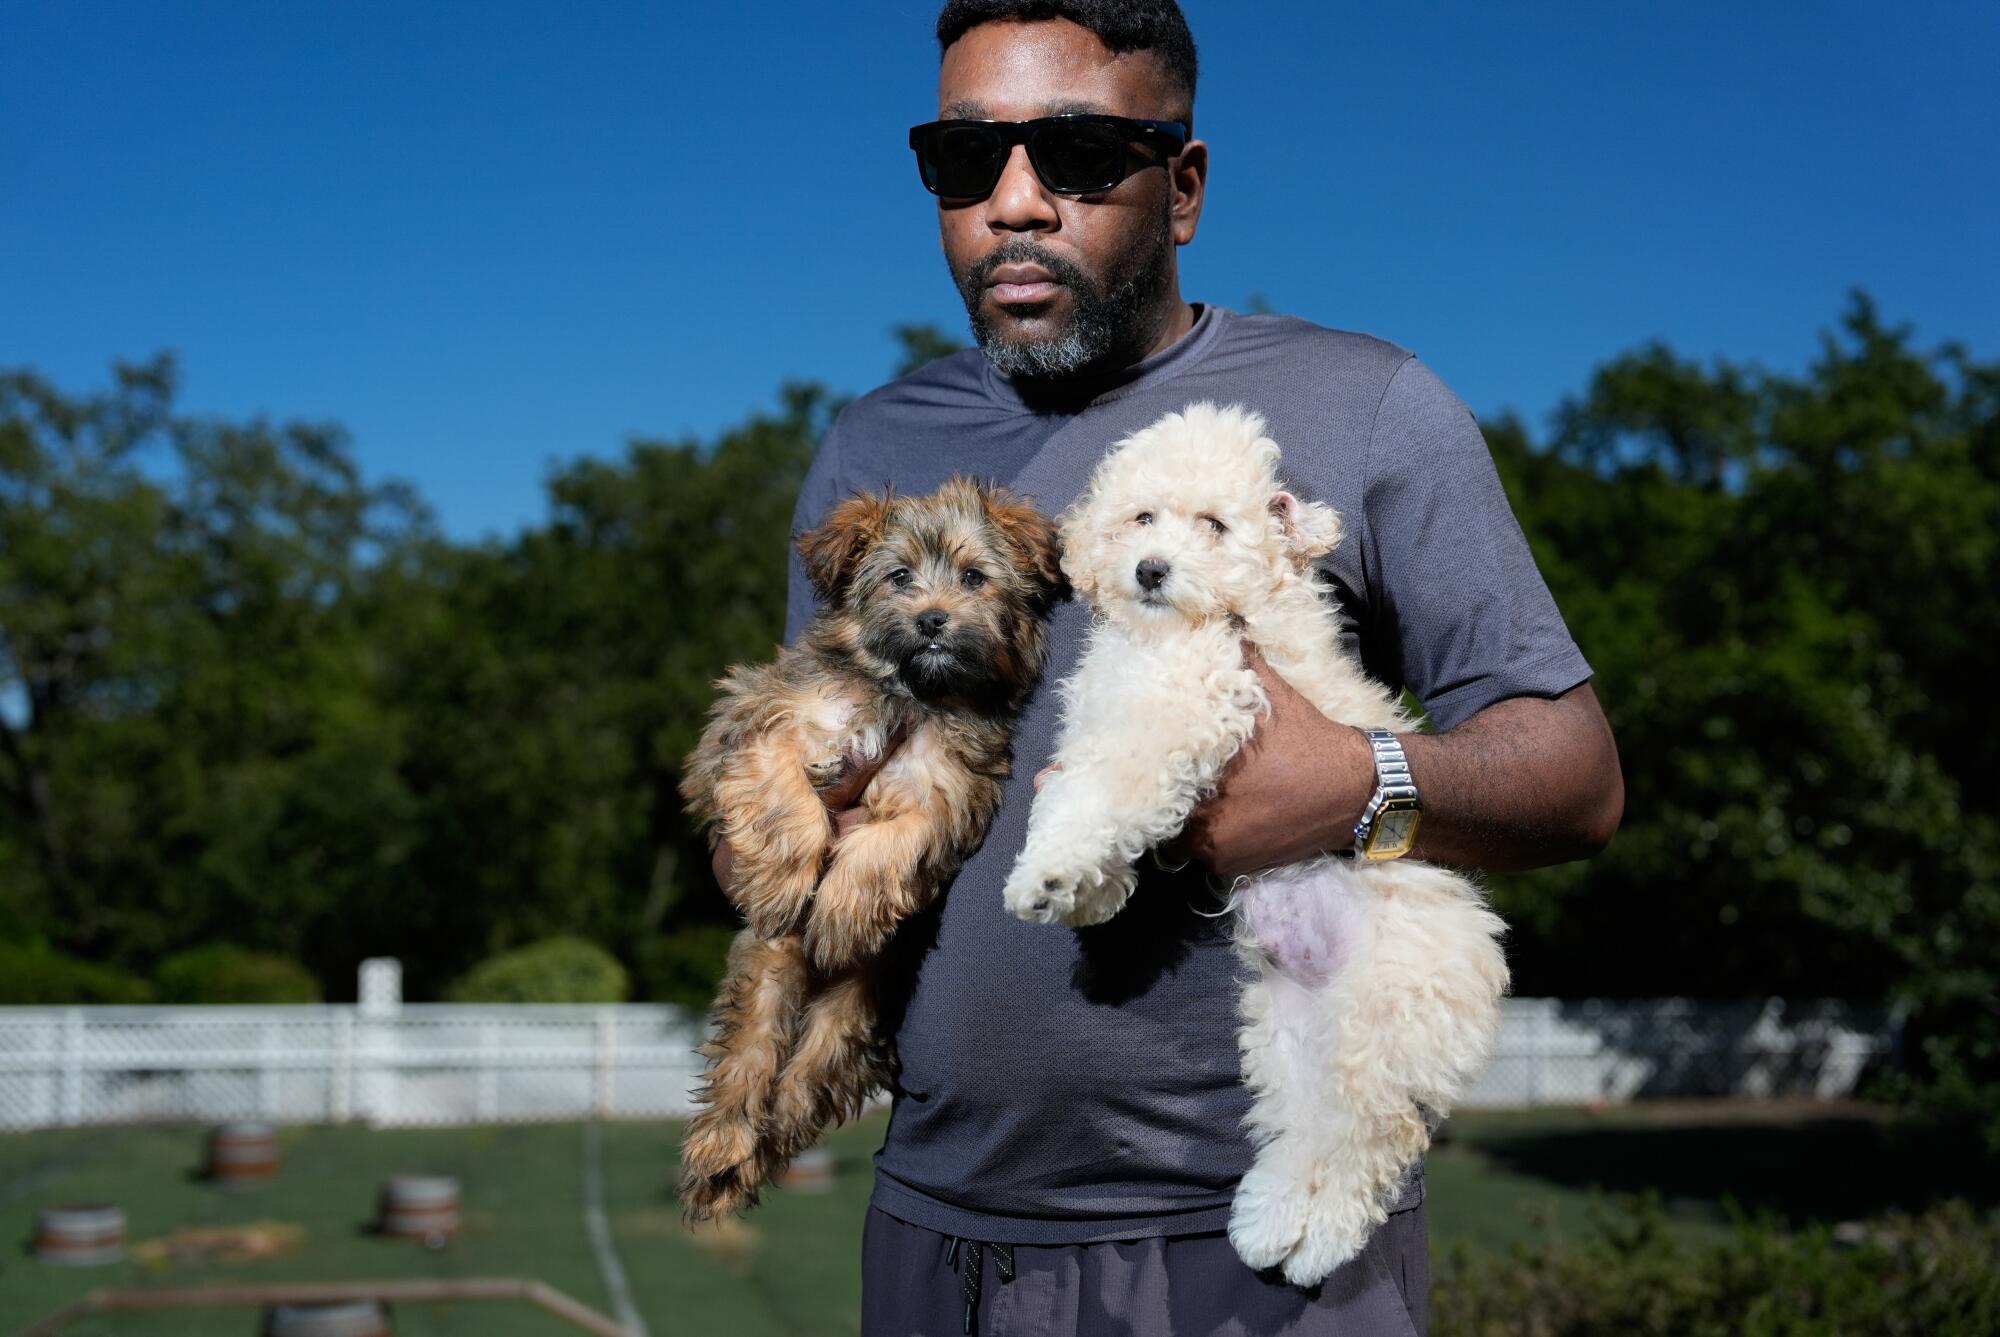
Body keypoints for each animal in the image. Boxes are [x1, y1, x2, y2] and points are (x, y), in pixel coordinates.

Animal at [676, 474, 1064, 1216]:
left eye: (974, 577)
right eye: (899, 576)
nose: (933, 620)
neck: (907, 691)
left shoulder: (945, 791)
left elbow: (891, 842)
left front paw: (841, 910)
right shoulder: (755, 724)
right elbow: (786, 795)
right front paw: (786, 881)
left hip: (848, 1018)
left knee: (801, 1090)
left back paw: (754, 1151)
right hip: (765, 976)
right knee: (746, 1062)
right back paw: (721, 1153)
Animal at [1008, 404, 1504, 1280]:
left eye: (1213, 525)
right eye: (1142, 517)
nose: (1151, 569)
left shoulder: (1188, 699)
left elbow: (1107, 790)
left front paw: (1051, 875)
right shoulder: (1109, 717)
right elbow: (1080, 791)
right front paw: (1092, 886)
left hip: (1380, 1026)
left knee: (1372, 1139)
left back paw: (1318, 1243)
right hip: (1290, 1031)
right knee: (1308, 1130)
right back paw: (1269, 1224)